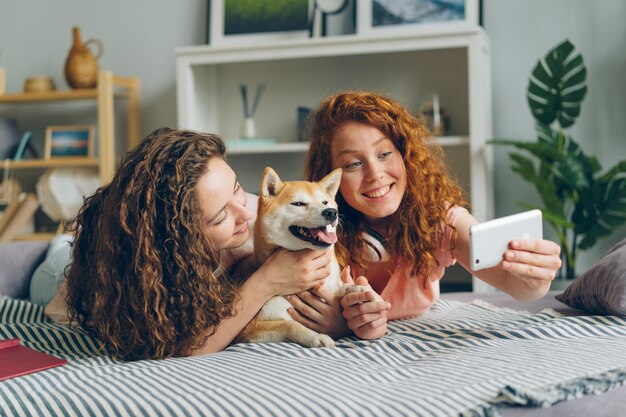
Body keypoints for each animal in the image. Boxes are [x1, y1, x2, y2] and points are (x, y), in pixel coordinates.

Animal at [238, 167, 366, 348]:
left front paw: (351, 288)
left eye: (325, 202)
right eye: (298, 204)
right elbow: (289, 324)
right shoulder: (249, 330)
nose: (331, 212)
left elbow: (337, 288)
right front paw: (316, 337)